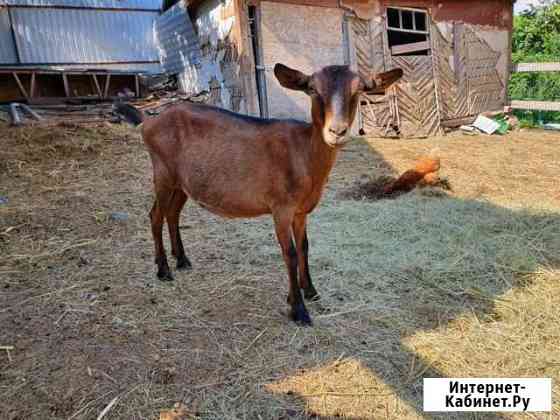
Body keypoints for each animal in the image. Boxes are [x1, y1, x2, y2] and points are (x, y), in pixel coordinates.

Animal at [115, 63, 402, 324]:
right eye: (313, 90)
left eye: (359, 90)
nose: (337, 131)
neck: (304, 155)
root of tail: (149, 121)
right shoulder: (280, 207)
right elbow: (290, 253)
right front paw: (298, 309)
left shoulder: (301, 211)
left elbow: (305, 247)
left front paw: (310, 290)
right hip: (162, 172)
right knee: (155, 215)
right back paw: (163, 270)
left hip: (182, 182)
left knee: (172, 213)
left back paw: (182, 259)